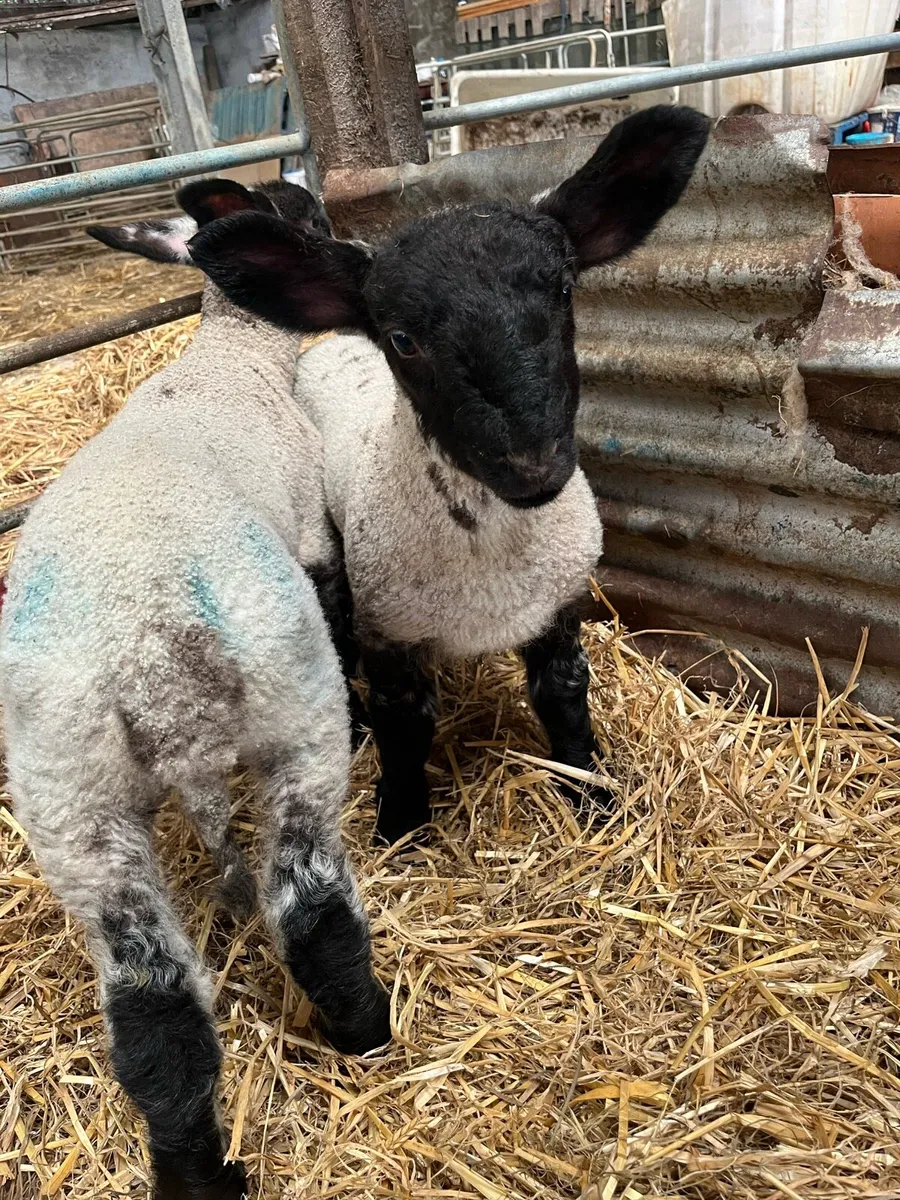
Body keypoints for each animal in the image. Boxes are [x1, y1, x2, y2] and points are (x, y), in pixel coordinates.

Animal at [0, 178, 390, 1200]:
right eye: (308, 217)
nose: (365, 255)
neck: (229, 360)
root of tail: (155, 658)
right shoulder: (316, 537)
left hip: (72, 802)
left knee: (155, 1009)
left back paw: (198, 1174)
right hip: (296, 714)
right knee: (309, 909)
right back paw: (369, 1036)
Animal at [187, 106, 711, 847]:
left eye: (563, 292)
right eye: (403, 339)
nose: (532, 465)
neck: (492, 551)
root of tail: (331, 340)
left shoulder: (560, 609)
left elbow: (564, 698)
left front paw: (593, 793)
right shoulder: (392, 636)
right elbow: (405, 731)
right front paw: (401, 825)